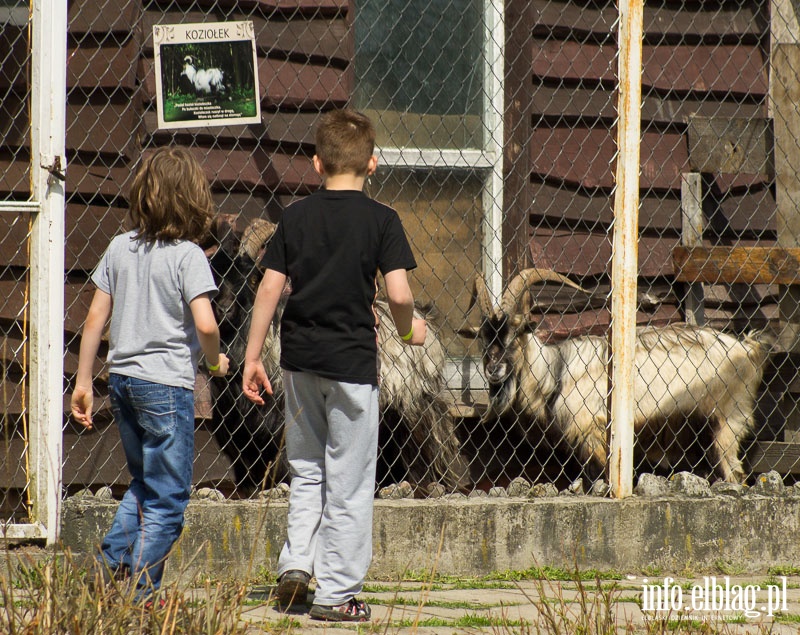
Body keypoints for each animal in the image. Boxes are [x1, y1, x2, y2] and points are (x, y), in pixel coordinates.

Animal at [462, 268, 776, 482]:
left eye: (515, 334)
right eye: (484, 338)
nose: (493, 369)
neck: (556, 371)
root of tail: (749, 348)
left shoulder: (592, 429)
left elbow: (599, 472)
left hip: (729, 419)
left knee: (734, 471)